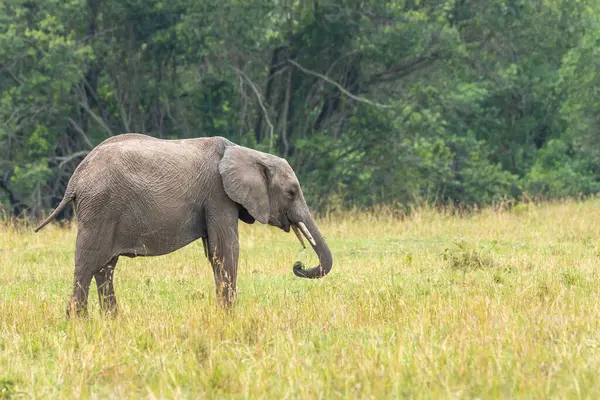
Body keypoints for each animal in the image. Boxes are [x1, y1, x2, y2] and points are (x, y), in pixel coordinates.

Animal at [34, 134, 332, 316]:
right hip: (100, 208)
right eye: (292, 192)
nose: (298, 264)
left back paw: (112, 321)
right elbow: (226, 250)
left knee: (105, 268)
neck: (245, 152)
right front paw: (228, 316)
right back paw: (78, 322)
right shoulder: (218, 195)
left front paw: (222, 313)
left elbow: (215, 253)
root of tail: (75, 179)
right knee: (87, 264)